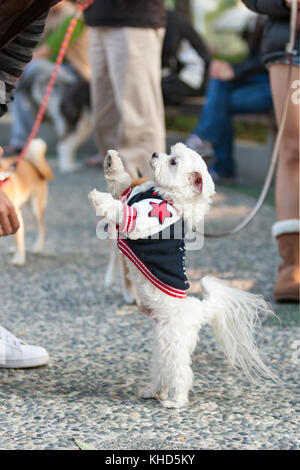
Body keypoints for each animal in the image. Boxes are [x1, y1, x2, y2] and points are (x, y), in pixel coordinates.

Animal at [88, 142, 276, 408]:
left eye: (173, 162)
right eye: (169, 153)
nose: (155, 154)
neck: (165, 195)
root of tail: (200, 310)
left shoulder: (143, 219)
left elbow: (121, 209)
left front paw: (99, 198)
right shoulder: (130, 195)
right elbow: (122, 185)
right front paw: (112, 162)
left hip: (173, 345)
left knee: (180, 374)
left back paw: (175, 401)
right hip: (161, 346)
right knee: (162, 372)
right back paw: (154, 392)